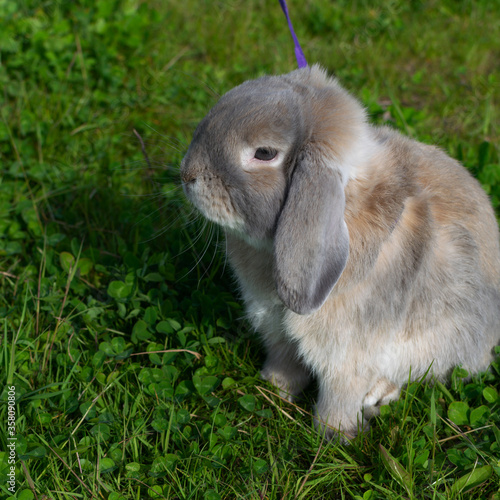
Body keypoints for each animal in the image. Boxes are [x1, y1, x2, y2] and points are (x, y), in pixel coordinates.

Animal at [182, 64, 500, 440]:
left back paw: (378, 395)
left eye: (264, 153)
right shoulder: (276, 330)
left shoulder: (347, 352)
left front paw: (332, 434)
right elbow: (284, 360)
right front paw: (273, 388)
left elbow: (341, 392)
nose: (187, 174)